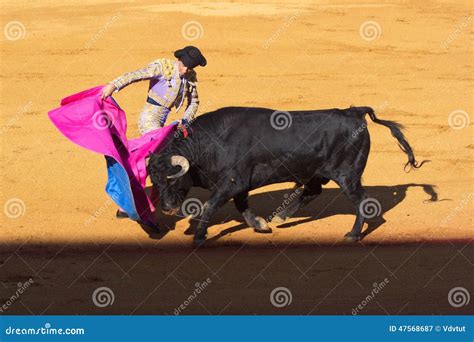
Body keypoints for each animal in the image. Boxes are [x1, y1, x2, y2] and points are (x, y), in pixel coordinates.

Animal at [148, 105, 422, 244]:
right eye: (155, 182)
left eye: (173, 178)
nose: (168, 208)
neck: (209, 143)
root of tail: (353, 112)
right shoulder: (240, 184)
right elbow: (242, 206)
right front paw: (261, 225)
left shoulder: (231, 182)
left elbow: (210, 205)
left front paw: (199, 236)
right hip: (315, 172)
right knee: (313, 190)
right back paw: (282, 216)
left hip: (348, 175)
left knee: (361, 201)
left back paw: (353, 235)